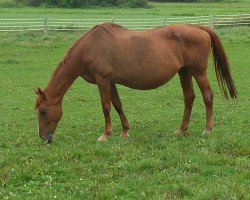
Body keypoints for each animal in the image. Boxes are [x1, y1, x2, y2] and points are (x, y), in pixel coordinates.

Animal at [34, 22, 237, 143]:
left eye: (43, 111)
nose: (44, 137)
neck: (90, 47)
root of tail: (198, 27)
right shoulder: (110, 81)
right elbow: (117, 104)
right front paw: (125, 131)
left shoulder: (102, 80)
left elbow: (106, 107)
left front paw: (105, 134)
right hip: (184, 72)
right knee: (189, 98)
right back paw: (181, 130)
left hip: (198, 72)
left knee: (207, 96)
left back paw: (207, 129)